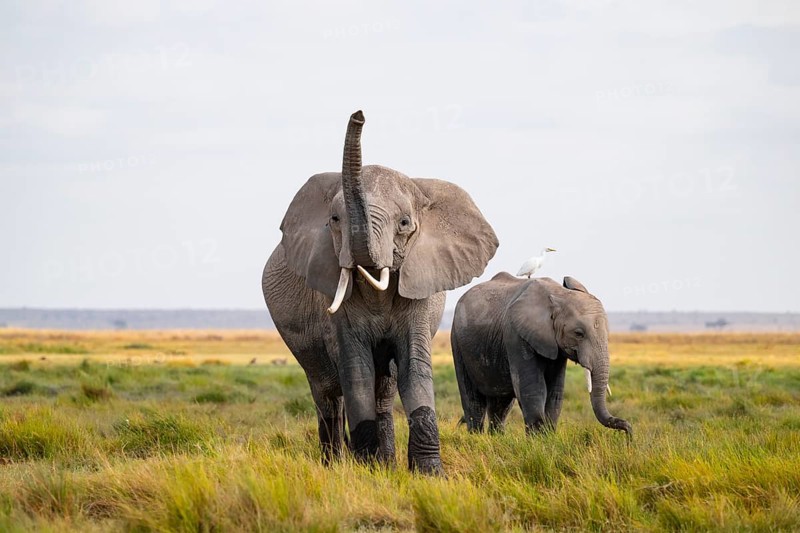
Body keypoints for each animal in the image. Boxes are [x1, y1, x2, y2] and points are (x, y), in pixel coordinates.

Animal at [262, 110, 498, 473]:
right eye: (334, 220)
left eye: (404, 223)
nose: (358, 114)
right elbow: (356, 371)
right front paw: (365, 470)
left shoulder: (420, 288)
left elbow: (413, 367)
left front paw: (428, 474)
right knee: (327, 394)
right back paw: (335, 464)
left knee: (383, 391)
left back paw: (385, 462)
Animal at [451, 273, 632, 437]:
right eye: (579, 333)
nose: (628, 434)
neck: (558, 294)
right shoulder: (516, 335)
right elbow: (533, 388)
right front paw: (537, 441)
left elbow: (555, 390)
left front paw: (548, 438)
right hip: (457, 341)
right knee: (473, 400)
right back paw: (476, 438)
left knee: (501, 403)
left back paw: (497, 438)